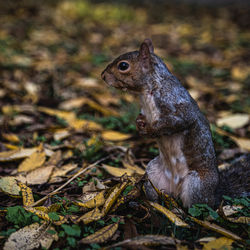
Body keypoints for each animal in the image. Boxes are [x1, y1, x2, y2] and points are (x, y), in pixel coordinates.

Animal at [101, 38, 250, 207]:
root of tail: (215, 194)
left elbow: (175, 122)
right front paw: (139, 123)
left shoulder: (177, 105)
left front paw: (149, 129)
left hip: (196, 185)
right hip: (152, 174)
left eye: (123, 66)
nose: (103, 75)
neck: (147, 91)